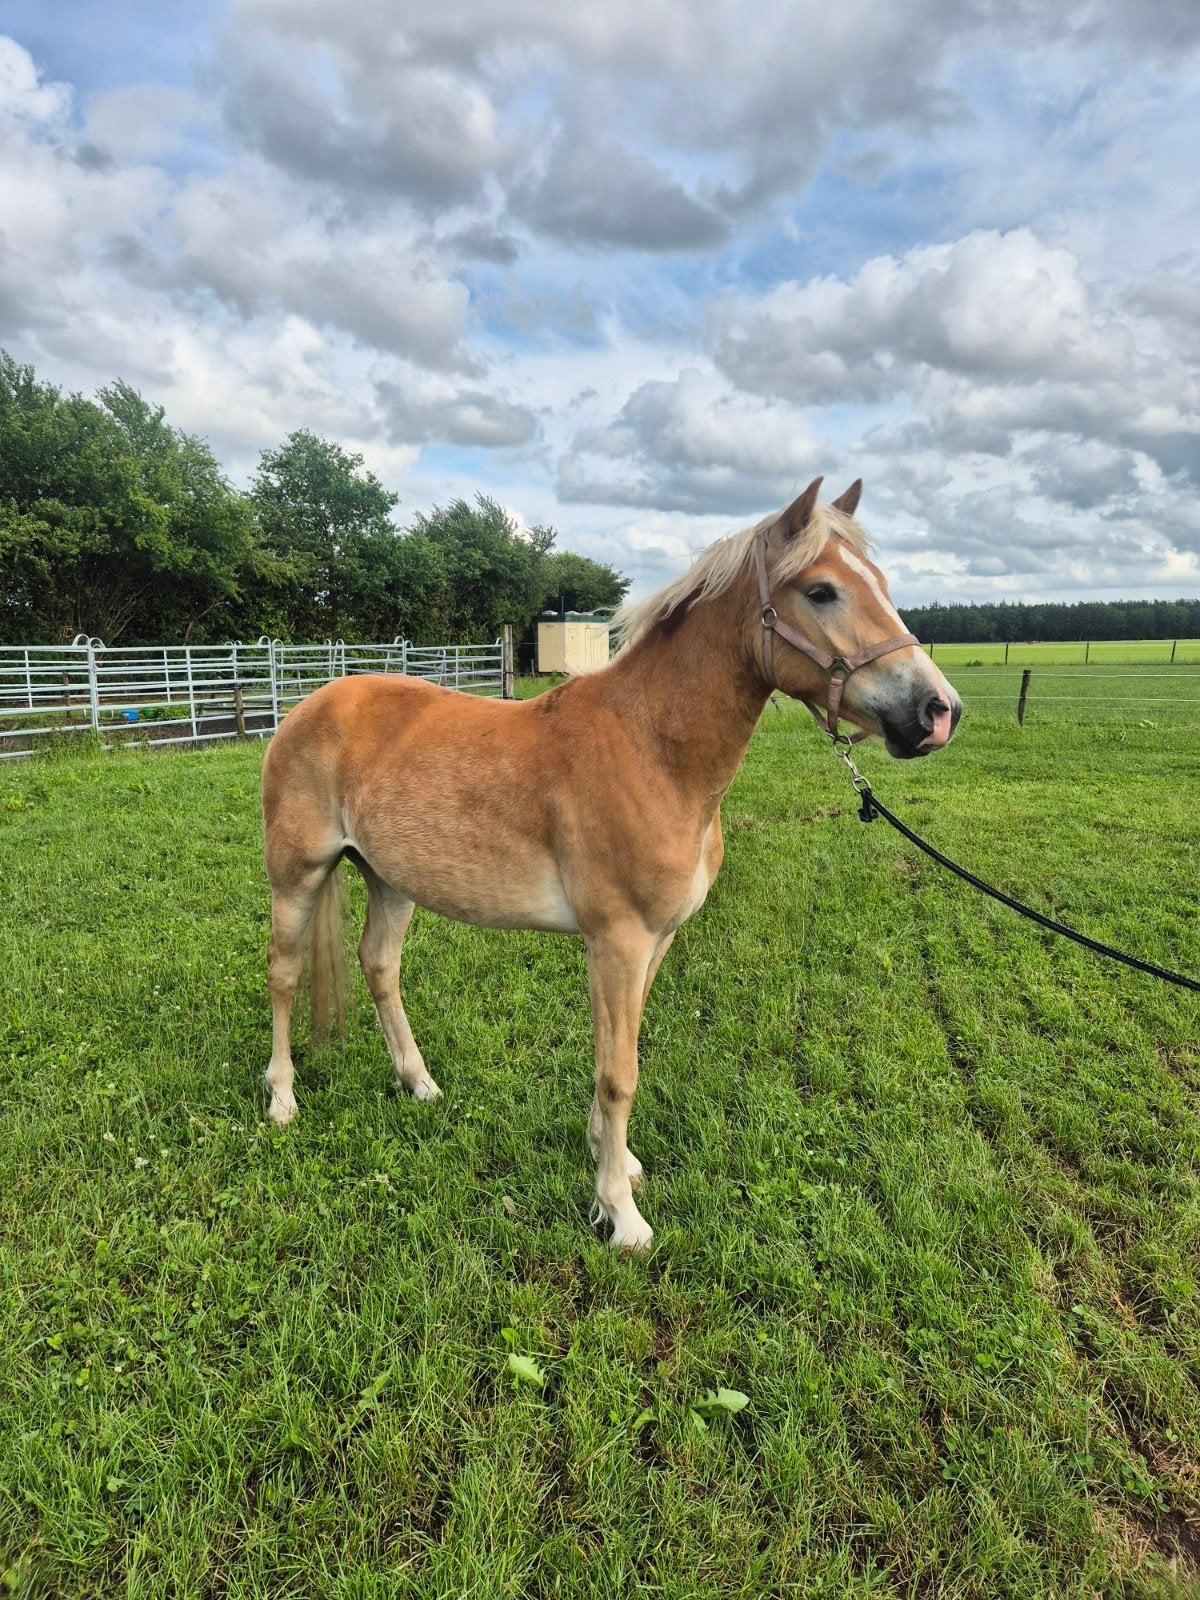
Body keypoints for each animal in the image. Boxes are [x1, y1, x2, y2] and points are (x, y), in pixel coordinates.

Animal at [261, 478, 961, 1250]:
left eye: (883, 585)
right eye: (822, 590)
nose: (938, 712)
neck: (652, 750)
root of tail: (308, 708)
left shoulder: (654, 941)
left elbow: (618, 1059)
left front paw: (614, 1164)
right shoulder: (617, 940)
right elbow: (619, 1073)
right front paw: (620, 1216)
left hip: (390, 879)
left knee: (380, 966)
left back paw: (419, 1085)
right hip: (297, 875)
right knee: (284, 973)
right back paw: (282, 1100)